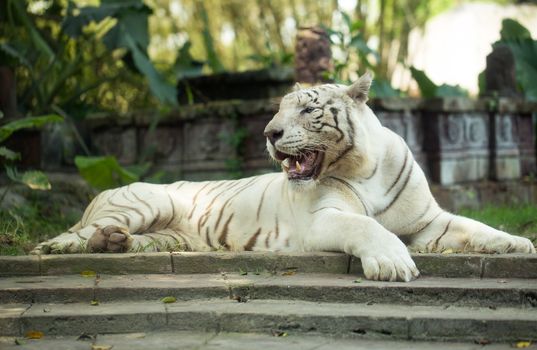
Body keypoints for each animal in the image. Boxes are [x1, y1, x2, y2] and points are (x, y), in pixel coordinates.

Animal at [31, 73, 532, 282]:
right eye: (276, 111)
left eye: (307, 111)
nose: (269, 132)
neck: (363, 166)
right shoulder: (322, 220)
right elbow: (366, 226)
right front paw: (393, 264)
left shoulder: (429, 222)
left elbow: (474, 226)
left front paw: (519, 244)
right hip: (146, 202)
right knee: (73, 234)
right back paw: (56, 247)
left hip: (166, 234)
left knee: (127, 239)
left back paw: (114, 245)